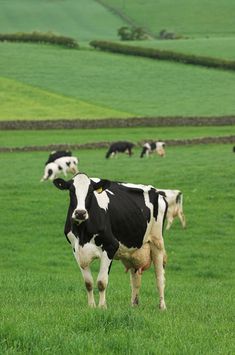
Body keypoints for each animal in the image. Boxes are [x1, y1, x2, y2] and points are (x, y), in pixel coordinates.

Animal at [53, 174, 168, 310]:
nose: (80, 213)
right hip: (133, 251)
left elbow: (102, 282)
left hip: (157, 242)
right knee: (135, 280)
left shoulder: (110, 246)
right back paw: (134, 305)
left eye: (90, 192)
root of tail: (156, 191)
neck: (83, 234)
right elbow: (88, 283)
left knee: (160, 278)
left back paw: (162, 306)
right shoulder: (76, 250)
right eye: (71, 190)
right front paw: (91, 306)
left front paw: (102, 306)